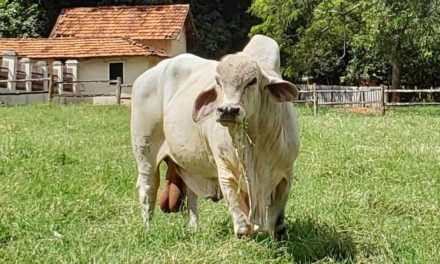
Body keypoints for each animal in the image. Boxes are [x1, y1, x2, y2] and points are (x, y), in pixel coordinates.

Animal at [131, 35, 300, 237]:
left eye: (252, 81)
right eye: (218, 82)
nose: (228, 110)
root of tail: (146, 76)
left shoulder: (286, 173)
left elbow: (276, 219)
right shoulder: (226, 171)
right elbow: (242, 220)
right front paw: (245, 233)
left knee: (190, 194)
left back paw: (194, 228)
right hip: (144, 151)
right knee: (148, 188)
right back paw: (148, 228)